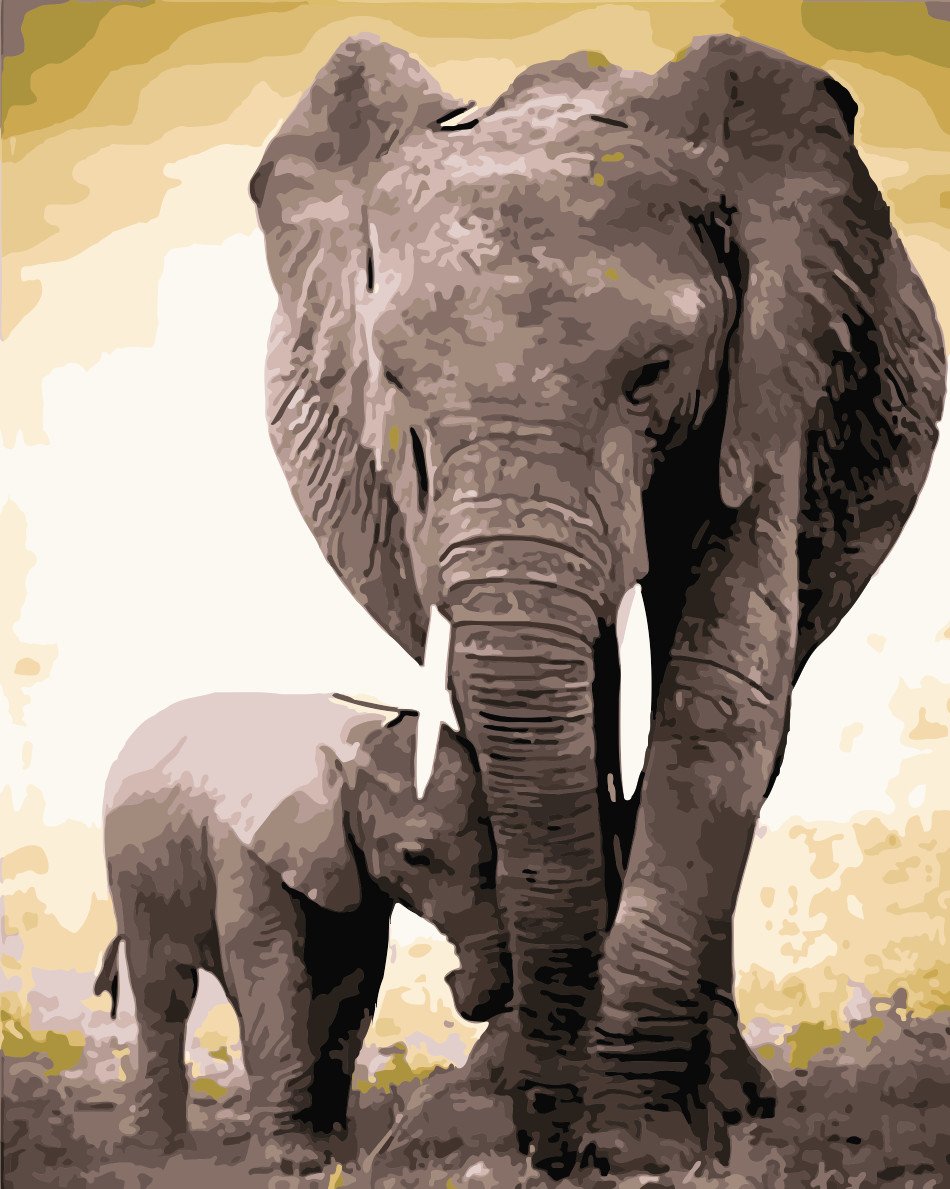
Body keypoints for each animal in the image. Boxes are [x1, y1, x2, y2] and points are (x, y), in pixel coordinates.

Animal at [94, 692, 511, 1175]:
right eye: (415, 857)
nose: (455, 978)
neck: (354, 751)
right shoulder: (246, 849)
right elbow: (272, 965)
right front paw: (291, 1162)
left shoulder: (356, 868)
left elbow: (354, 979)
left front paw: (334, 1151)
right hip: (132, 876)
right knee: (164, 990)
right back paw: (155, 1148)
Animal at [250, 33, 946, 1177]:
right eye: (395, 379)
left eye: (651, 374)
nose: (553, 1143)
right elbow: (496, 696)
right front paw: (533, 1117)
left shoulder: (771, 379)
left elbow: (719, 692)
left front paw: (642, 1139)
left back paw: (729, 1095)